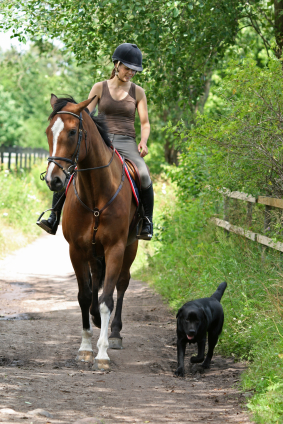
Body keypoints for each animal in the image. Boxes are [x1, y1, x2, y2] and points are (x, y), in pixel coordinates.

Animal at [44, 94, 140, 370]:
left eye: (72, 132)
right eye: (49, 131)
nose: (53, 180)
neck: (97, 193)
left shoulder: (115, 248)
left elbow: (107, 299)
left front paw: (103, 353)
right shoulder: (76, 250)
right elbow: (85, 296)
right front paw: (86, 348)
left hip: (130, 247)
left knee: (121, 283)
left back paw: (115, 333)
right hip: (93, 253)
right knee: (96, 279)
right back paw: (97, 322)